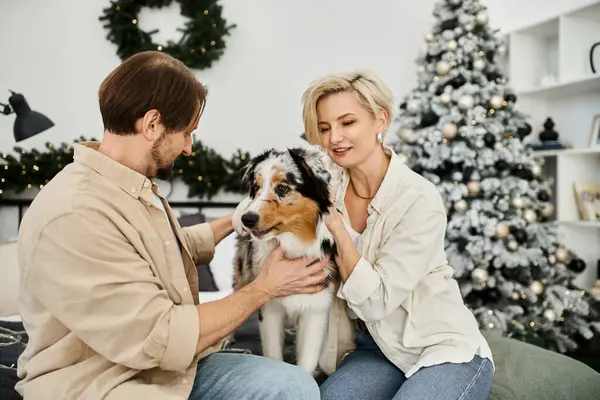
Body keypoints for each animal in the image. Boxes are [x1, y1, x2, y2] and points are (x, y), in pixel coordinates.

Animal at [231, 145, 340, 376]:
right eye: (256, 187)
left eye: (282, 188)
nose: (247, 219)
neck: (293, 244)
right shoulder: (269, 308)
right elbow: (273, 354)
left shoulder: (316, 309)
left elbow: (307, 359)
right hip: (243, 274)